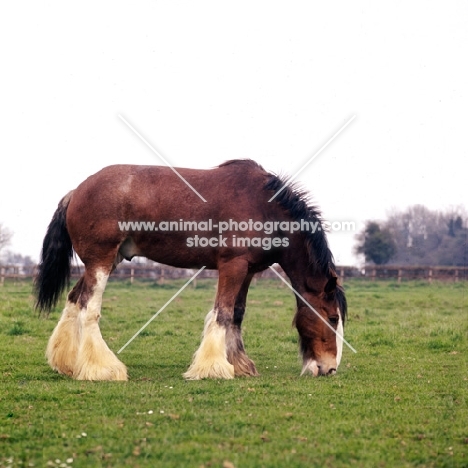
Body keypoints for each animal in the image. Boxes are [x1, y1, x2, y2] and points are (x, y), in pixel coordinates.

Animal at [34, 159, 346, 378]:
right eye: (332, 318)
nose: (330, 367)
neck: (265, 207)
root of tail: (76, 192)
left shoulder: (247, 269)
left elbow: (237, 313)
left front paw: (239, 364)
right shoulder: (232, 266)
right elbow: (222, 313)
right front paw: (213, 368)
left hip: (104, 262)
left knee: (75, 299)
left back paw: (68, 363)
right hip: (100, 261)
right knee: (89, 308)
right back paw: (102, 369)